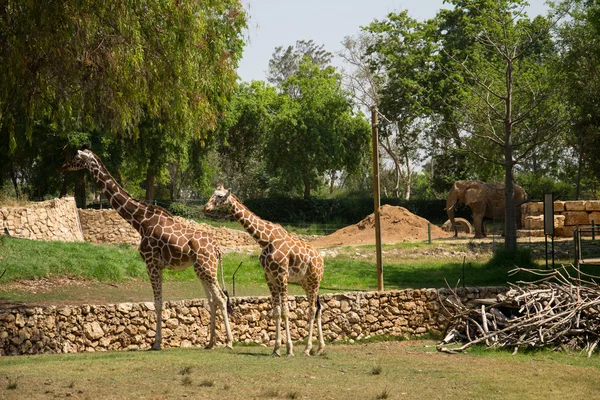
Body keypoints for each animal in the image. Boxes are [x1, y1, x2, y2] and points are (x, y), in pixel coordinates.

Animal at [62, 148, 233, 350]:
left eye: (76, 156)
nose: (63, 166)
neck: (140, 221)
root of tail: (217, 249)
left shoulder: (151, 263)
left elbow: (158, 303)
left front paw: (157, 343)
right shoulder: (157, 265)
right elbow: (160, 302)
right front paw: (158, 341)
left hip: (207, 267)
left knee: (221, 298)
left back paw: (229, 342)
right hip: (201, 269)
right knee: (213, 300)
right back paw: (210, 343)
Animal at [203, 184, 324, 356]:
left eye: (219, 196)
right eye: (213, 193)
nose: (206, 207)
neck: (265, 240)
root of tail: (321, 258)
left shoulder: (282, 275)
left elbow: (285, 311)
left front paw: (289, 349)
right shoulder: (269, 277)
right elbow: (276, 311)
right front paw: (276, 349)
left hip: (314, 279)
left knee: (312, 309)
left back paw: (307, 349)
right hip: (305, 282)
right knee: (319, 308)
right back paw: (319, 348)